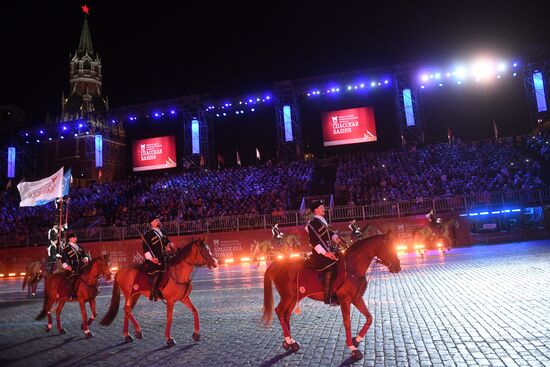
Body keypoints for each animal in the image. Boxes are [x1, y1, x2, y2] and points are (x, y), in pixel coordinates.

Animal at [260, 233, 404, 362]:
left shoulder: (357, 299)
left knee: (286, 315)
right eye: (387, 248)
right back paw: (289, 340)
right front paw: (353, 349)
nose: (397, 267)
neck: (352, 269)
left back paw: (290, 342)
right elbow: (347, 323)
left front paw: (357, 340)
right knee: (279, 311)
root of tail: (276, 264)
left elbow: (369, 318)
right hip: (288, 297)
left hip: (294, 297)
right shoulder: (345, 301)